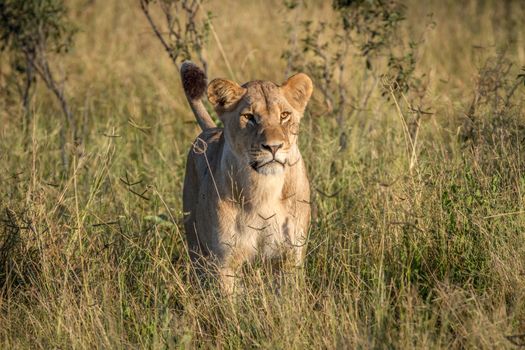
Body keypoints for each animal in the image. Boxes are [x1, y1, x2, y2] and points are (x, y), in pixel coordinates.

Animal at [180, 61, 312, 292]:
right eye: (249, 117)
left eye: (284, 115)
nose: (273, 147)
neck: (265, 189)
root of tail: (211, 129)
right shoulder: (224, 262)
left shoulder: (291, 256)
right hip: (195, 244)